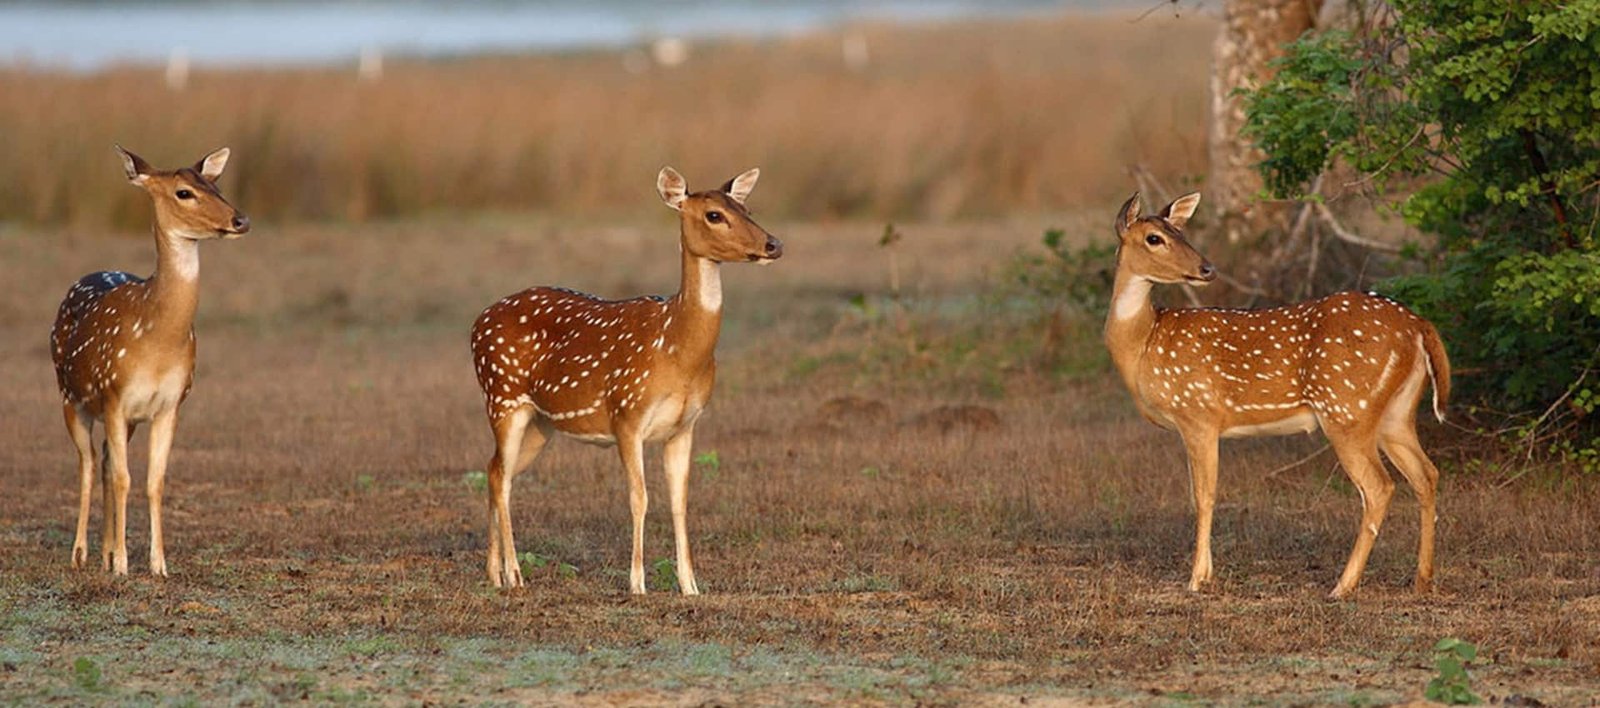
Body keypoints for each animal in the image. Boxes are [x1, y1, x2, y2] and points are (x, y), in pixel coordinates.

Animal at [51, 144, 249, 576]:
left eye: (216, 184)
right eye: (184, 193)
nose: (240, 220)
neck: (156, 341)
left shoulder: (170, 404)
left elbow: (153, 480)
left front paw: (157, 564)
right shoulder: (113, 394)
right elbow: (125, 478)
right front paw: (125, 564)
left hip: (122, 419)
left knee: (106, 461)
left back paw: (105, 553)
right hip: (70, 397)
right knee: (89, 463)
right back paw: (80, 554)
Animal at [467, 165, 780, 592]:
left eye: (747, 208)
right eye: (714, 215)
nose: (773, 244)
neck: (677, 349)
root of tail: (476, 323)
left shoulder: (685, 425)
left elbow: (680, 501)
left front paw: (690, 587)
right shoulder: (626, 414)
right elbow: (639, 497)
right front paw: (637, 584)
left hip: (540, 423)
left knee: (495, 470)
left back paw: (494, 573)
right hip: (502, 396)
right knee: (500, 476)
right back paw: (515, 575)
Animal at [1107, 192, 1459, 595]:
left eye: (1180, 231)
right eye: (1155, 237)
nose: (1207, 268)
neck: (1144, 343)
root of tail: (1419, 325)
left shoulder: (1198, 413)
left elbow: (1204, 496)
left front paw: (1196, 579)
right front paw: (1207, 573)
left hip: (1346, 407)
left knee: (1379, 486)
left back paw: (1343, 585)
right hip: (1395, 414)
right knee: (1426, 474)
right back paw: (1421, 579)